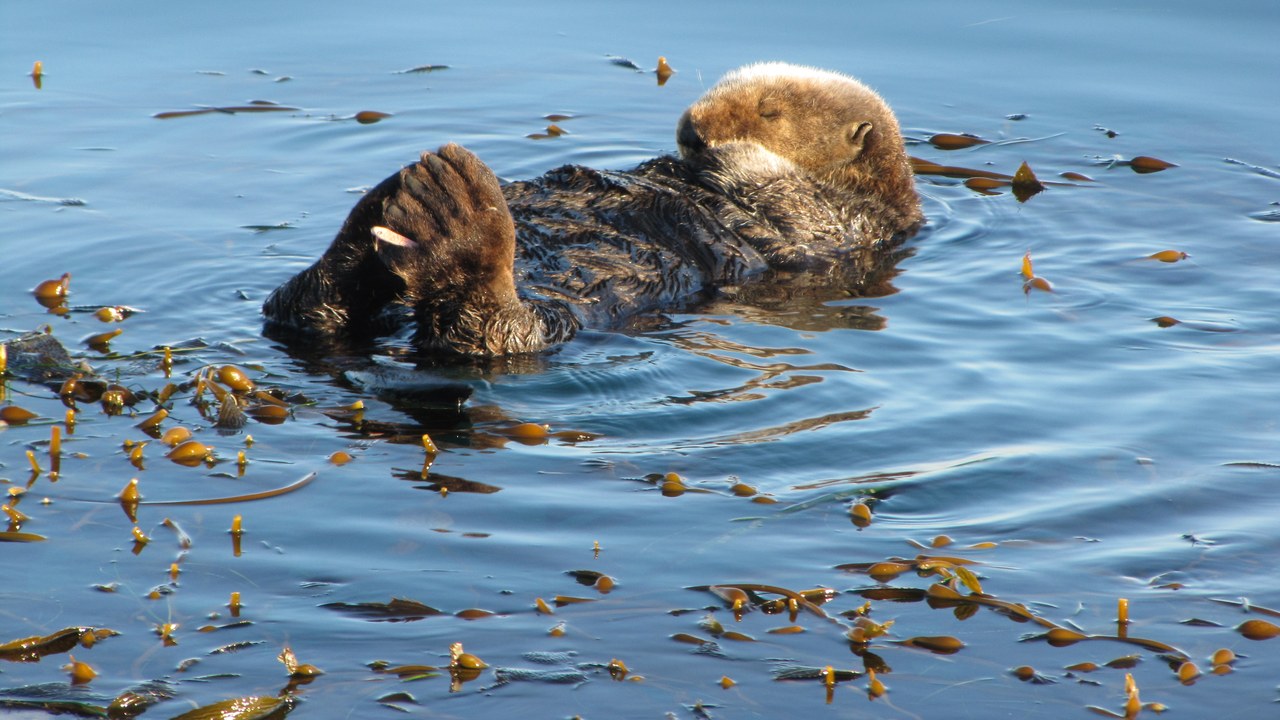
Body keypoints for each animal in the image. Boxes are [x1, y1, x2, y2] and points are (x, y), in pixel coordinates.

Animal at [262, 62, 923, 356]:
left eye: (769, 111)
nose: (691, 130)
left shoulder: (846, 224)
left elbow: (791, 198)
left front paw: (732, 153)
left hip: (541, 317)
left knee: (483, 335)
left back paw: (452, 214)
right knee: (307, 308)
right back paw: (388, 206)